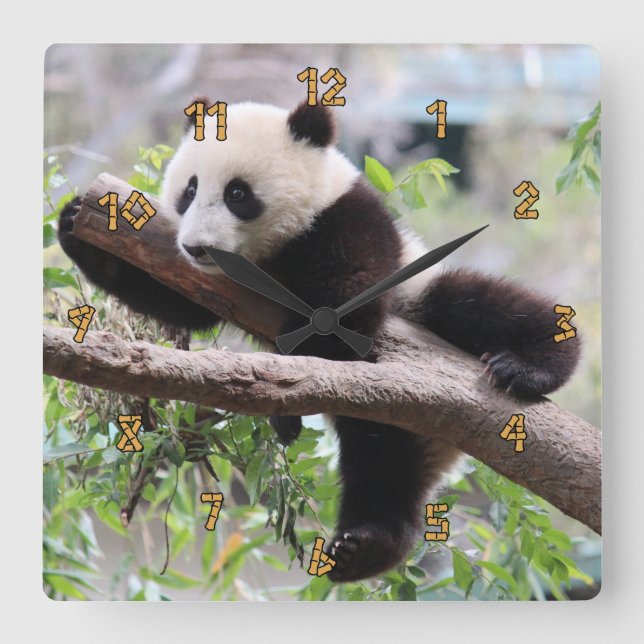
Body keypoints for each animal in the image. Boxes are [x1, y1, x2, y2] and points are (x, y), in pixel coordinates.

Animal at [58, 100, 580, 583]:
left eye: (237, 193)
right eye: (189, 189)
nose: (196, 247)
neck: (268, 253)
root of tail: (444, 446)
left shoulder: (347, 220)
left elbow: (346, 306)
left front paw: (286, 402)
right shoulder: (211, 280)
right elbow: (175, 298)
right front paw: (76, 222)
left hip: (420, 301)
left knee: (476, 303)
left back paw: (528, 367)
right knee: (382, 467)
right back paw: (365, 548)